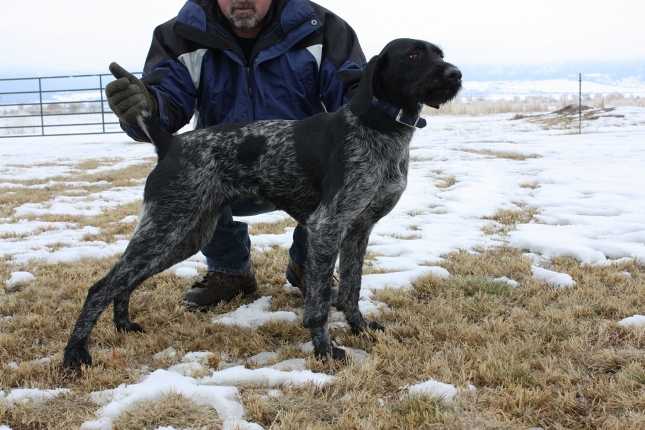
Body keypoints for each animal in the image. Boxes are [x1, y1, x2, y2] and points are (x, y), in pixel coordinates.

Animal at [61, 38, 462, 372]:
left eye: (439, 53)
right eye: (413, 56)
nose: (455, 73)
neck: (380, 129)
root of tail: (169, 143)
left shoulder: (358, 230)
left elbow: (351, 289)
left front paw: (360, 329)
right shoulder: (327, 225)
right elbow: (319, 302)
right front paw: (325, 350)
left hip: (183, 234)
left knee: (125, 282)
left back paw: (124, 325)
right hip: (168, 226)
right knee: (101, 286)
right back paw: (75, 354)